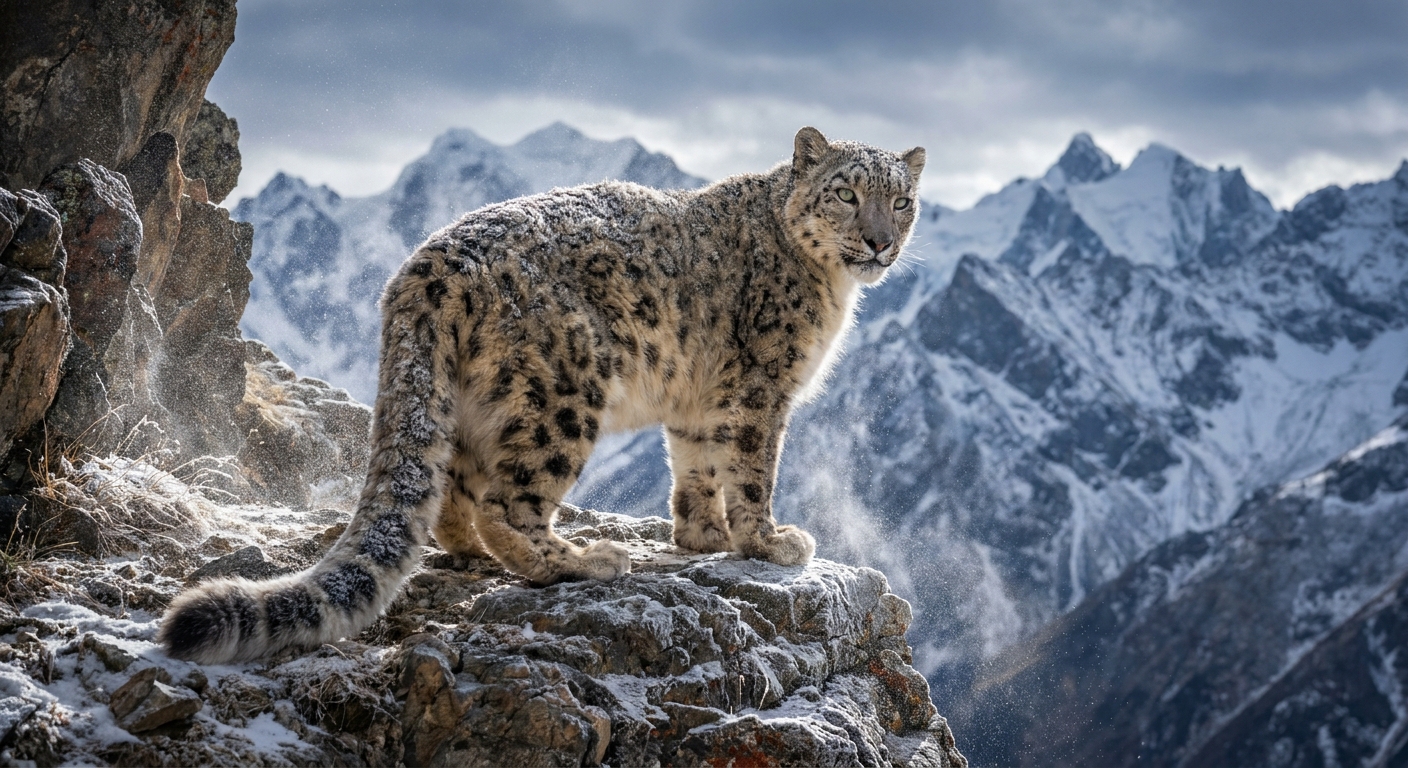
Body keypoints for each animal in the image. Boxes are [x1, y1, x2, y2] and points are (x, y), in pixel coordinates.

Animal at [160, 127, 925, 664]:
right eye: (847, 193)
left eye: (902, 200)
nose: (880, 242)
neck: (832, 289)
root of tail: (426, 266)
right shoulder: (761, 388)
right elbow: (753, 470)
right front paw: (770, 541)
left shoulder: (698, 401)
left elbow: (695, 468)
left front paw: (701, 536)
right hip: (563, 391)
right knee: (508, 500)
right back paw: (582, 559)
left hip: (470, 402)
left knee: (454, 491)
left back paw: (471, 552)